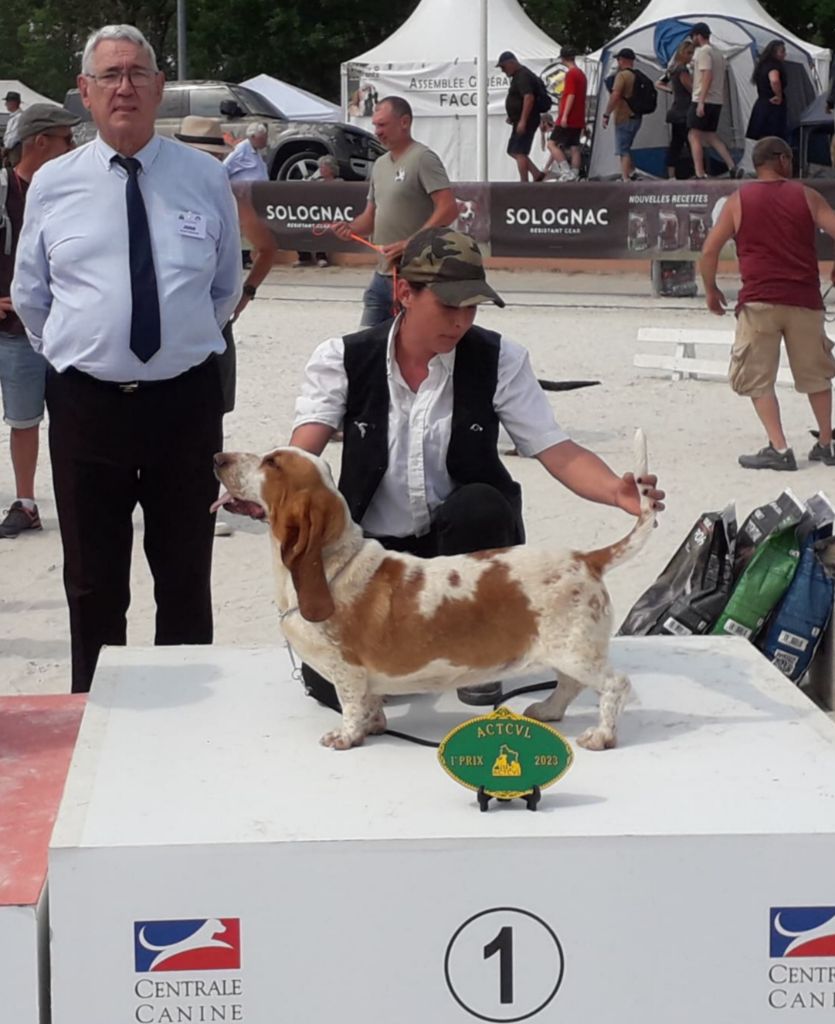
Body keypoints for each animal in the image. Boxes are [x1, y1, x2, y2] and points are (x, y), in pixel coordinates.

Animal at [212, 432, 655, 753]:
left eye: (271, 462)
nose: (218, 457)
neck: (333, 565)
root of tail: (588, 558)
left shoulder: (347, 670)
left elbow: (351, 704)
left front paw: (346, 736)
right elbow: (371, 703)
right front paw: (375, 726)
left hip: (575, 651)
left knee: (614, 685)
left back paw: (601, 737)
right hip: (566, 650)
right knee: (569, 685)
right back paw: (547, 710)